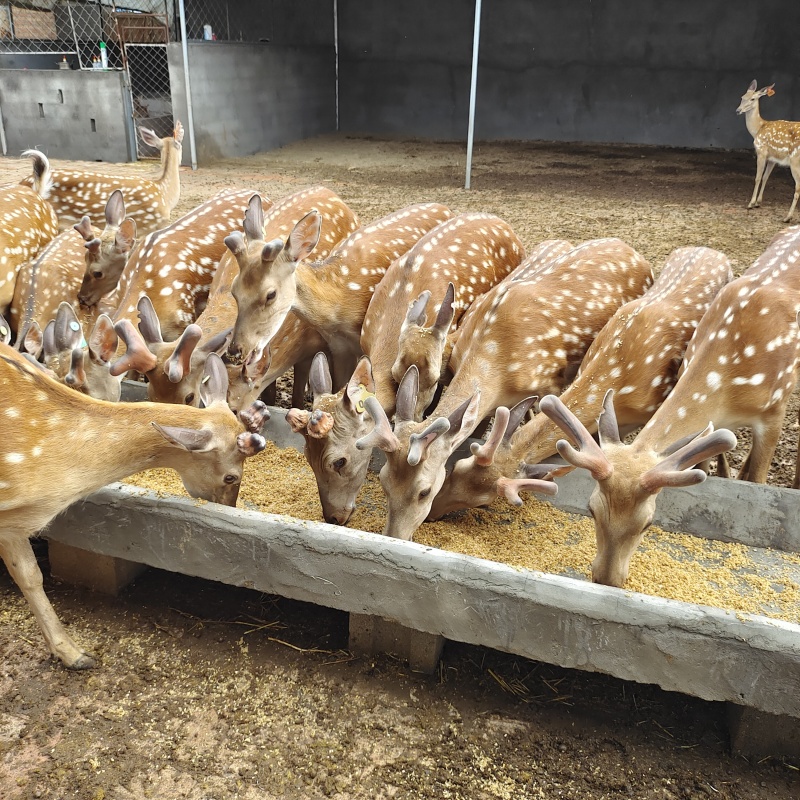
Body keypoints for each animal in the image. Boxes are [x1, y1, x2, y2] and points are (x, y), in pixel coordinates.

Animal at [0, 342, 267, 669]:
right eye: (231, 476)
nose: (231, 507)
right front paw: (74, 654)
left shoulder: (14, 523)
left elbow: (31, 575)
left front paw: (73, 654)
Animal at [355, 238, 654, 540]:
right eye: (383, 481)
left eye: (424, 491)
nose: (395, 535)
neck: (497, 356)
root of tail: (630, 249)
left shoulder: (547, 383)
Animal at [535, 225, 800, 588]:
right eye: (591, 509)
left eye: (648, 523)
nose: (606, 579)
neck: (728, 377)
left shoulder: (774, 409)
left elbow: (758, 479)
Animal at [736, 81, 800, 223]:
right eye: (742, 97)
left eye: (753, 99)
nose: (738, 110)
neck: (758, 128)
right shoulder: (772, 158)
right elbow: (766, 177)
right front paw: (758, 202)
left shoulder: (761, 151)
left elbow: (758, 177)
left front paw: (751, 203)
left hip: (795, 161)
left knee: (798, 188)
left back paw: (787, 217)